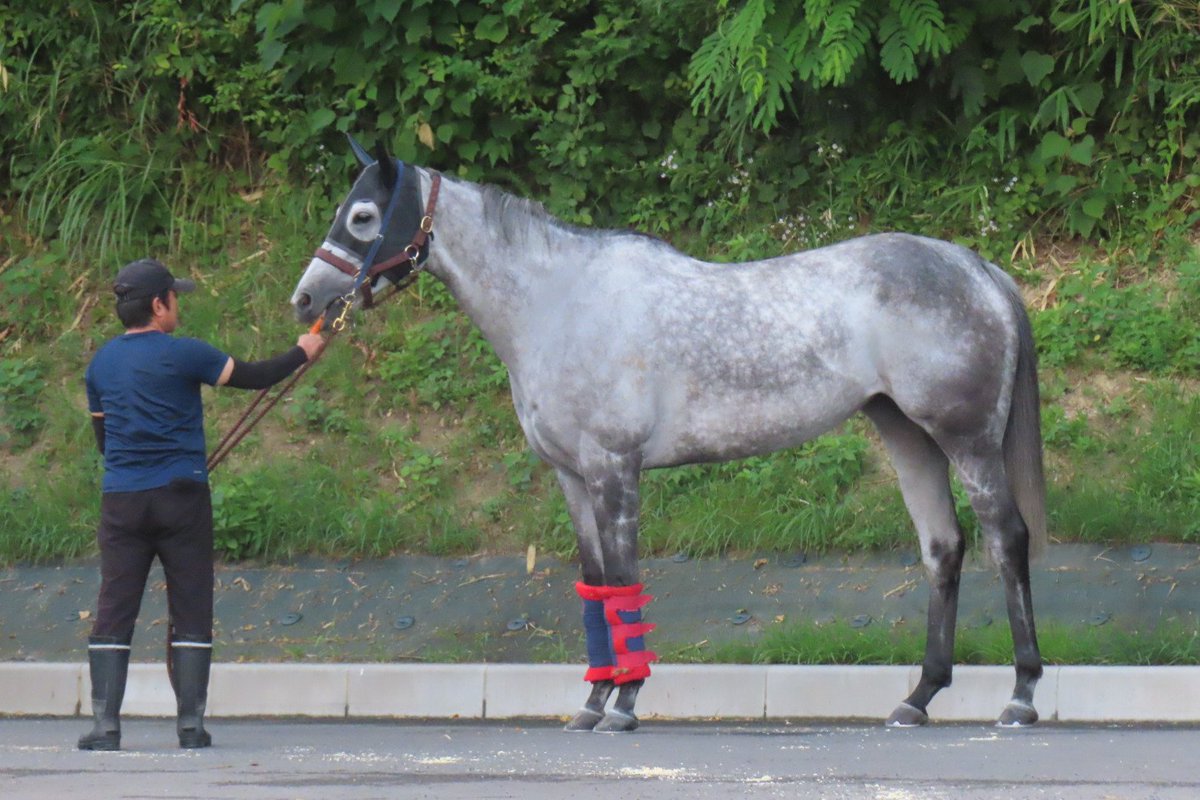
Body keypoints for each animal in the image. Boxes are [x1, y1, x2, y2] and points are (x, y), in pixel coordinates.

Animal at [290, 142, 1047, 733]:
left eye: (362, 216)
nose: (305, 300)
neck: (558, 302)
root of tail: (978, 269)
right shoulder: (573, 478)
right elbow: (597, 585)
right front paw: (593, 702)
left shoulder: (612, 469)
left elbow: (626, 580)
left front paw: (625, 703)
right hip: (907, 436)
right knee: (942, 548)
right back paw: (917, 699)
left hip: (967, 440)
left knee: (1006, 540)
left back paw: (1020, 698)